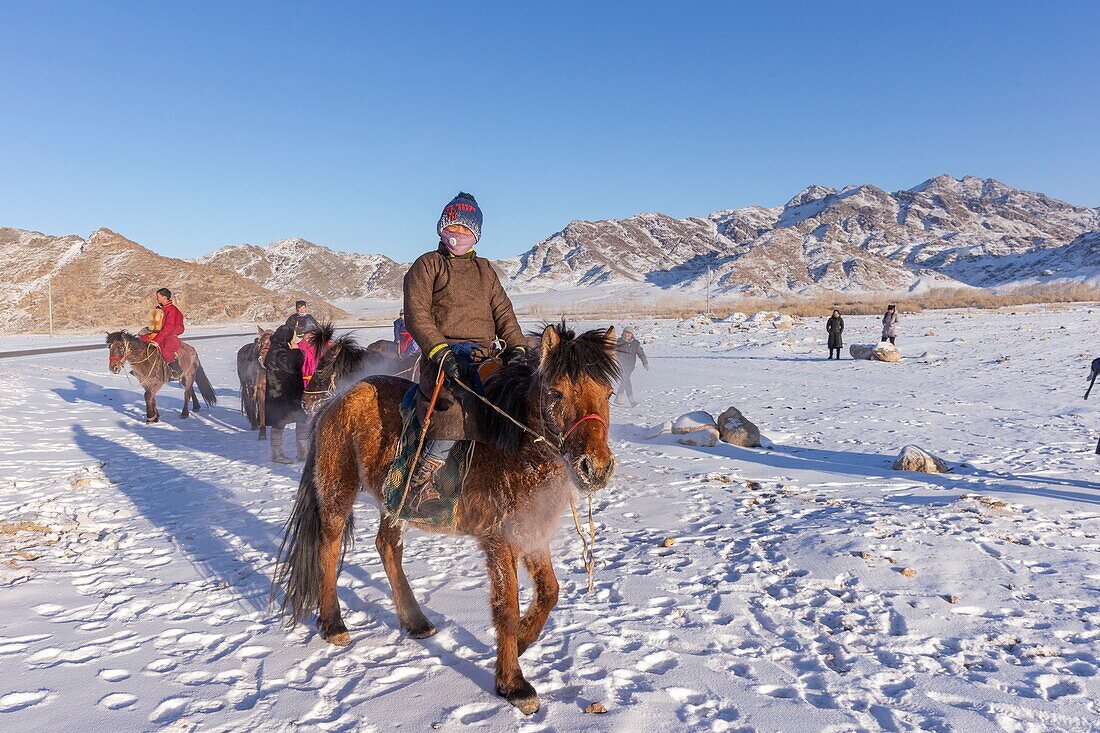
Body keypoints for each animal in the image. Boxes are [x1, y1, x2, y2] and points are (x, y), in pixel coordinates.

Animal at [275, 323, 620, 708]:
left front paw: (521, 641)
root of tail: (337, 400)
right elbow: (507, 604)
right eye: (557, 393)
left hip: (394, 502)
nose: (596, 468)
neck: (515, 446)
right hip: (338, 490)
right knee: (329, 548)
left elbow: (549, 592)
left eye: (608, 393)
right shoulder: (498, 538)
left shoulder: (530, 530)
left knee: (387, 546)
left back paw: (415, 621)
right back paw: (333, 624)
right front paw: (513, 683)